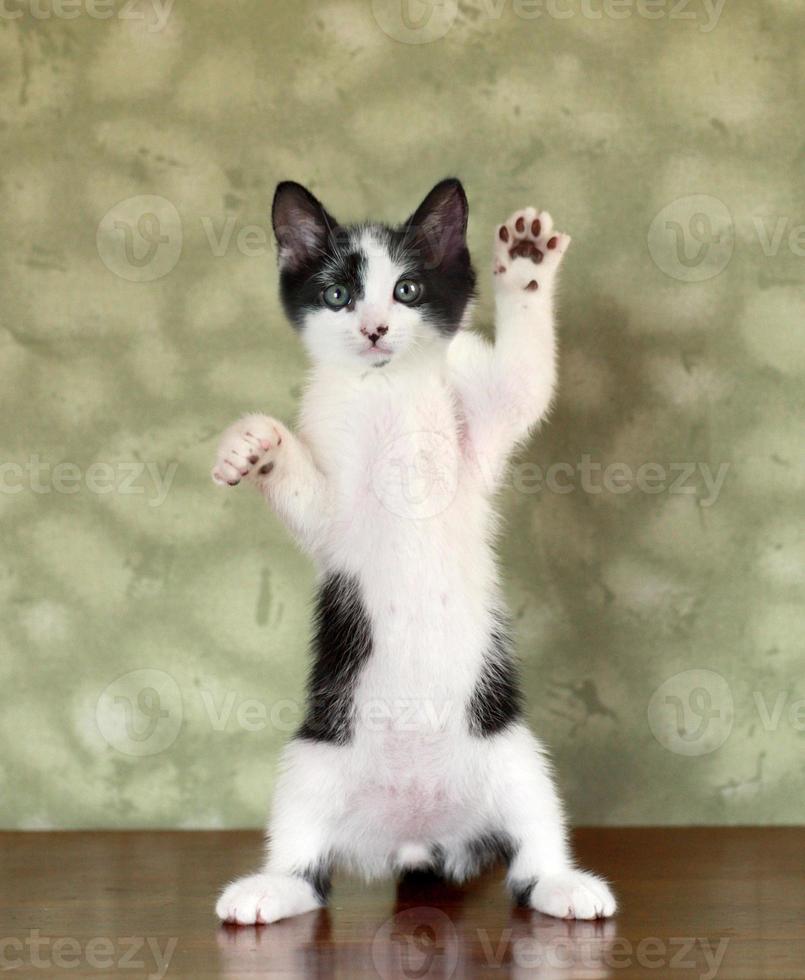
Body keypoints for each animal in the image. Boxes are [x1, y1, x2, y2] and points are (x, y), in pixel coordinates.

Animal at [210, 180, 612, 924]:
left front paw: (525, 262)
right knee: (308, 869)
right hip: (313, 759)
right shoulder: (333, 516)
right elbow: (309, 500)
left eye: (407, 288)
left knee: (531, 849)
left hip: (513, 753)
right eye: (338, 293)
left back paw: (565, 886)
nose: (374, 329)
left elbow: (524, 381)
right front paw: (250, 444)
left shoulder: (481, 425)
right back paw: (267, 889)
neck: (386, 389)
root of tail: (416, 834)